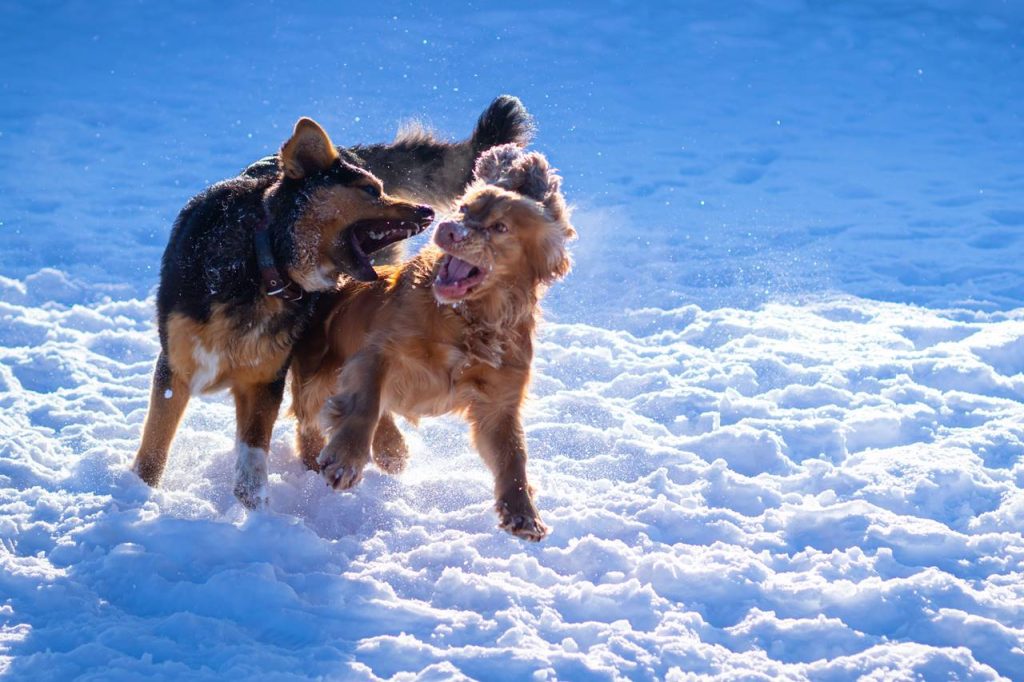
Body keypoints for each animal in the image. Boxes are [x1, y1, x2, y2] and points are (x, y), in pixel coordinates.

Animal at [132, 95, 532, 503]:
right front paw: (139, 492)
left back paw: (380, 447)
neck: (263, 262)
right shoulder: (176, 367)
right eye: (371, 190)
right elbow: (155, 443)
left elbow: (253, 455)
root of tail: (349, 148)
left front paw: (254, 505)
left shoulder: (266, 379)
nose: (426, 212)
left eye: (382, 188)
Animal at [290, 146, 577, 540]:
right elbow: (366, 403)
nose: (448, 228)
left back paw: (390, 448)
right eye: (464, 209)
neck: (467, 320)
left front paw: (522, 512)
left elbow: (513, 456)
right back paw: (331, 454)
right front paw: (346, 458)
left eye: (500, 227)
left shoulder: (499, 404)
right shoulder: (378, 350)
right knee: (309, 417)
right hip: (316, 372)